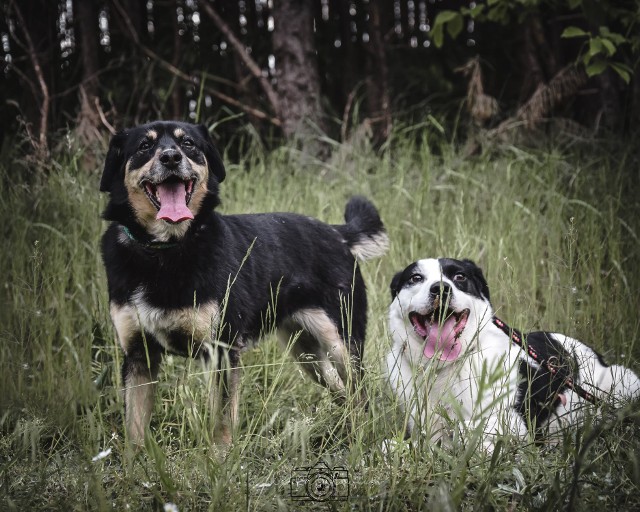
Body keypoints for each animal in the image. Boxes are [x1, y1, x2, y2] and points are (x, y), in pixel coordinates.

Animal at [100, 120, 390, 444]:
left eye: (188, 144)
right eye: (144, 146)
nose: (171, 158)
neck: (165, 251)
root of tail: (337, 233)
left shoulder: (222, 352)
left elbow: (222, 425)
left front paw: (221, 457)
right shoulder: (139, 357)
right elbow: (135, 433)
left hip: (341, 344)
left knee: (359, 395)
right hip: (308, 353)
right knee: (342, 393)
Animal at [384, 258, 640, 446]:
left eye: (459, 277)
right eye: (416, 278)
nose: (440, 288)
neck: (443, 367)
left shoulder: (515, 425)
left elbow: (468, 428)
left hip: (625, 382)